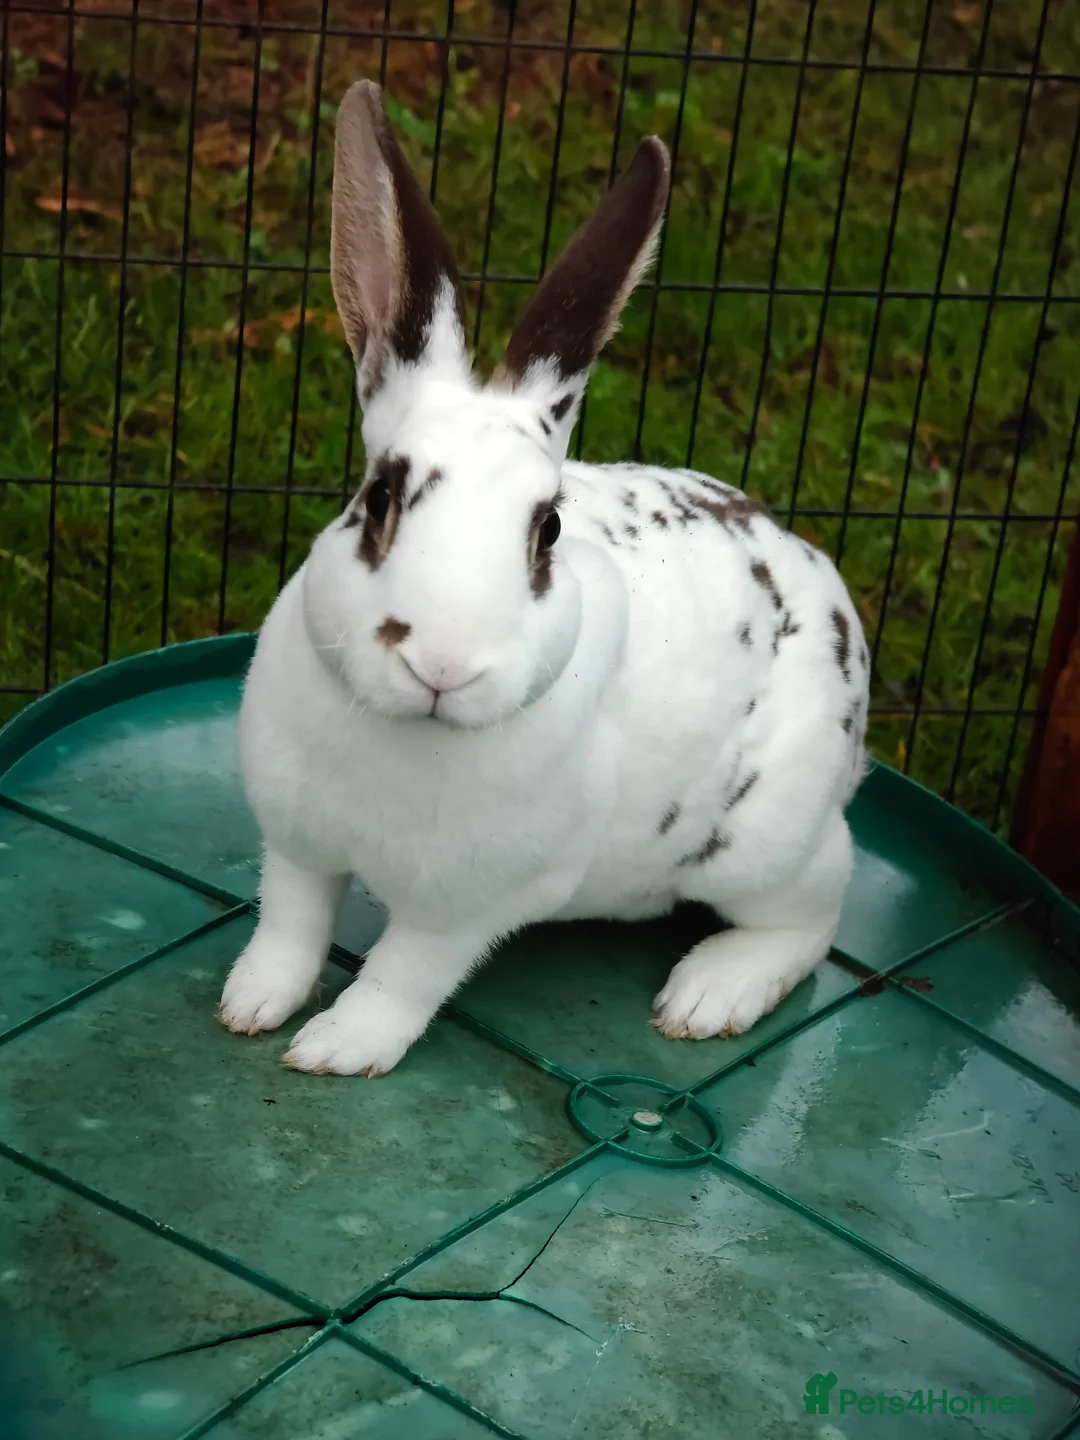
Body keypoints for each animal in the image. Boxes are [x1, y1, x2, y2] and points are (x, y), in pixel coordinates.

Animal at [217, 79, 869, 1077]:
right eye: (378, 499)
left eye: (548, 531)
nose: (442, 666)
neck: (404, 739)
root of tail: (838, 609)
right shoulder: (296, 845)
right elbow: (288, 925)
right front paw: (251, 1004)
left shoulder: (464, 907)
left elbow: (403, 977)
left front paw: (335, 1049)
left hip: (766, 849)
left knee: (818, 914)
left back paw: (708, 995)